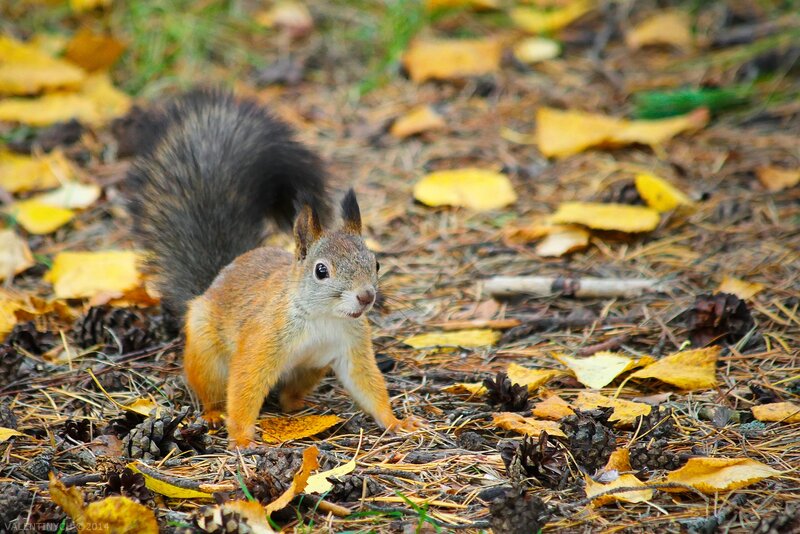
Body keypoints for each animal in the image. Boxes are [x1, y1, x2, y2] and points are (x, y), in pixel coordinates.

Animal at [127, 89, 424, 447]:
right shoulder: (262, 339)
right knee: (211, 390)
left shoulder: (352, 346)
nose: (366, 297)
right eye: (321, 271)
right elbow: (245, 386)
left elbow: (368, 385)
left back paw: (303, 407)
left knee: (288, 396)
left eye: (376, 263)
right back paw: (212, 415)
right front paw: (242, 439)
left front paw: (397, 422)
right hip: (206, 355)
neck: (323, 318)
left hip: (311, 368)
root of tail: (215, 280)